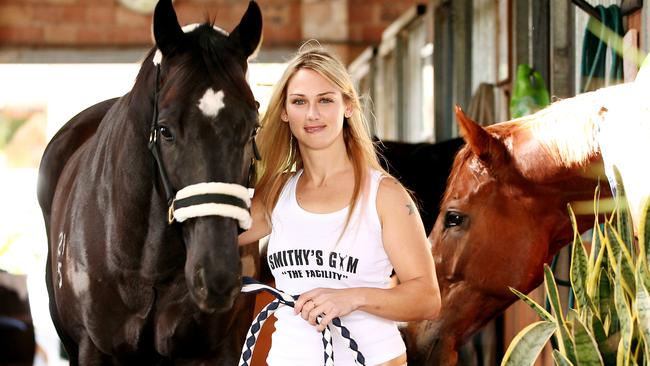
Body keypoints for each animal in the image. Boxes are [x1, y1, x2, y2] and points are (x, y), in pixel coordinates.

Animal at [35, 0, 262, 364]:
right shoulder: (92, 348)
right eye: (165, 129)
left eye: (253, 127)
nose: (216, 277)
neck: (148, 267)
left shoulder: (220, 350)